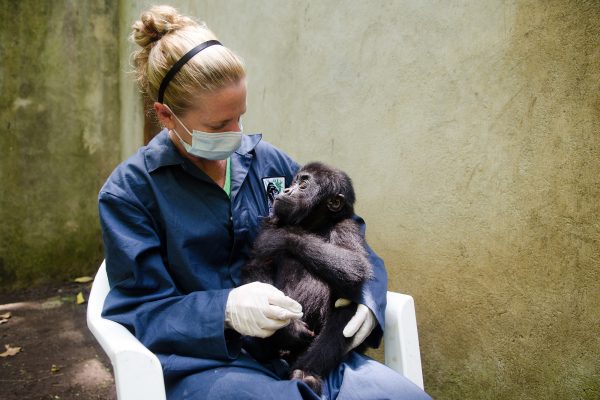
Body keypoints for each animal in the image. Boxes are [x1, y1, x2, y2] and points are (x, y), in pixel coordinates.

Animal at [241, 162, 372, 394]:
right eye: (294, 182)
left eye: (303, 185)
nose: (286, 190)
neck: (315, 225)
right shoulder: (271, 223)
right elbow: (257, 272)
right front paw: (288, 329)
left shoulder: (346, 227)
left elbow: (354, 266)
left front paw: (284, 237)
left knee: (345, 309)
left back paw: (306, 373)